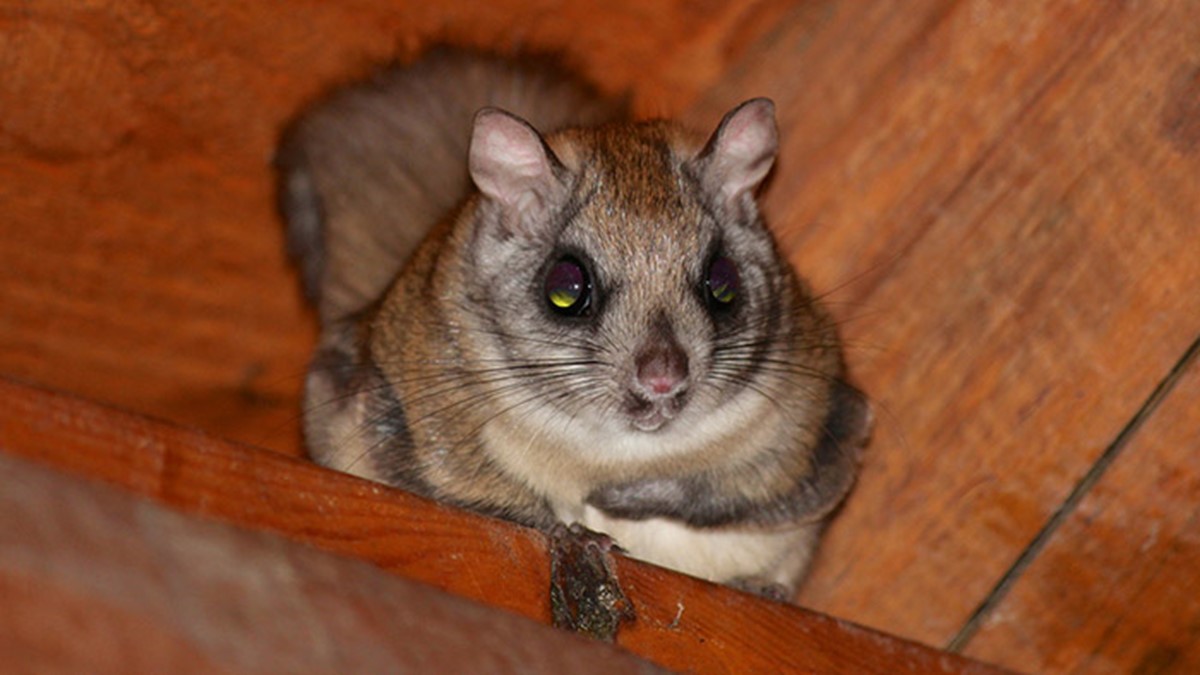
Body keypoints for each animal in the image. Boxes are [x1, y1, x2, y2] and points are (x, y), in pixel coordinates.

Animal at [276, 46, 871, 597]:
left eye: (721, 283)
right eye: (565, 289)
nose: (663, 376)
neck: (615, 449)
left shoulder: (825, 416)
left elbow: (752, 491)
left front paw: (626, 499)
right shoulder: (411, 400)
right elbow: (476, 492)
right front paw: (577, 530)